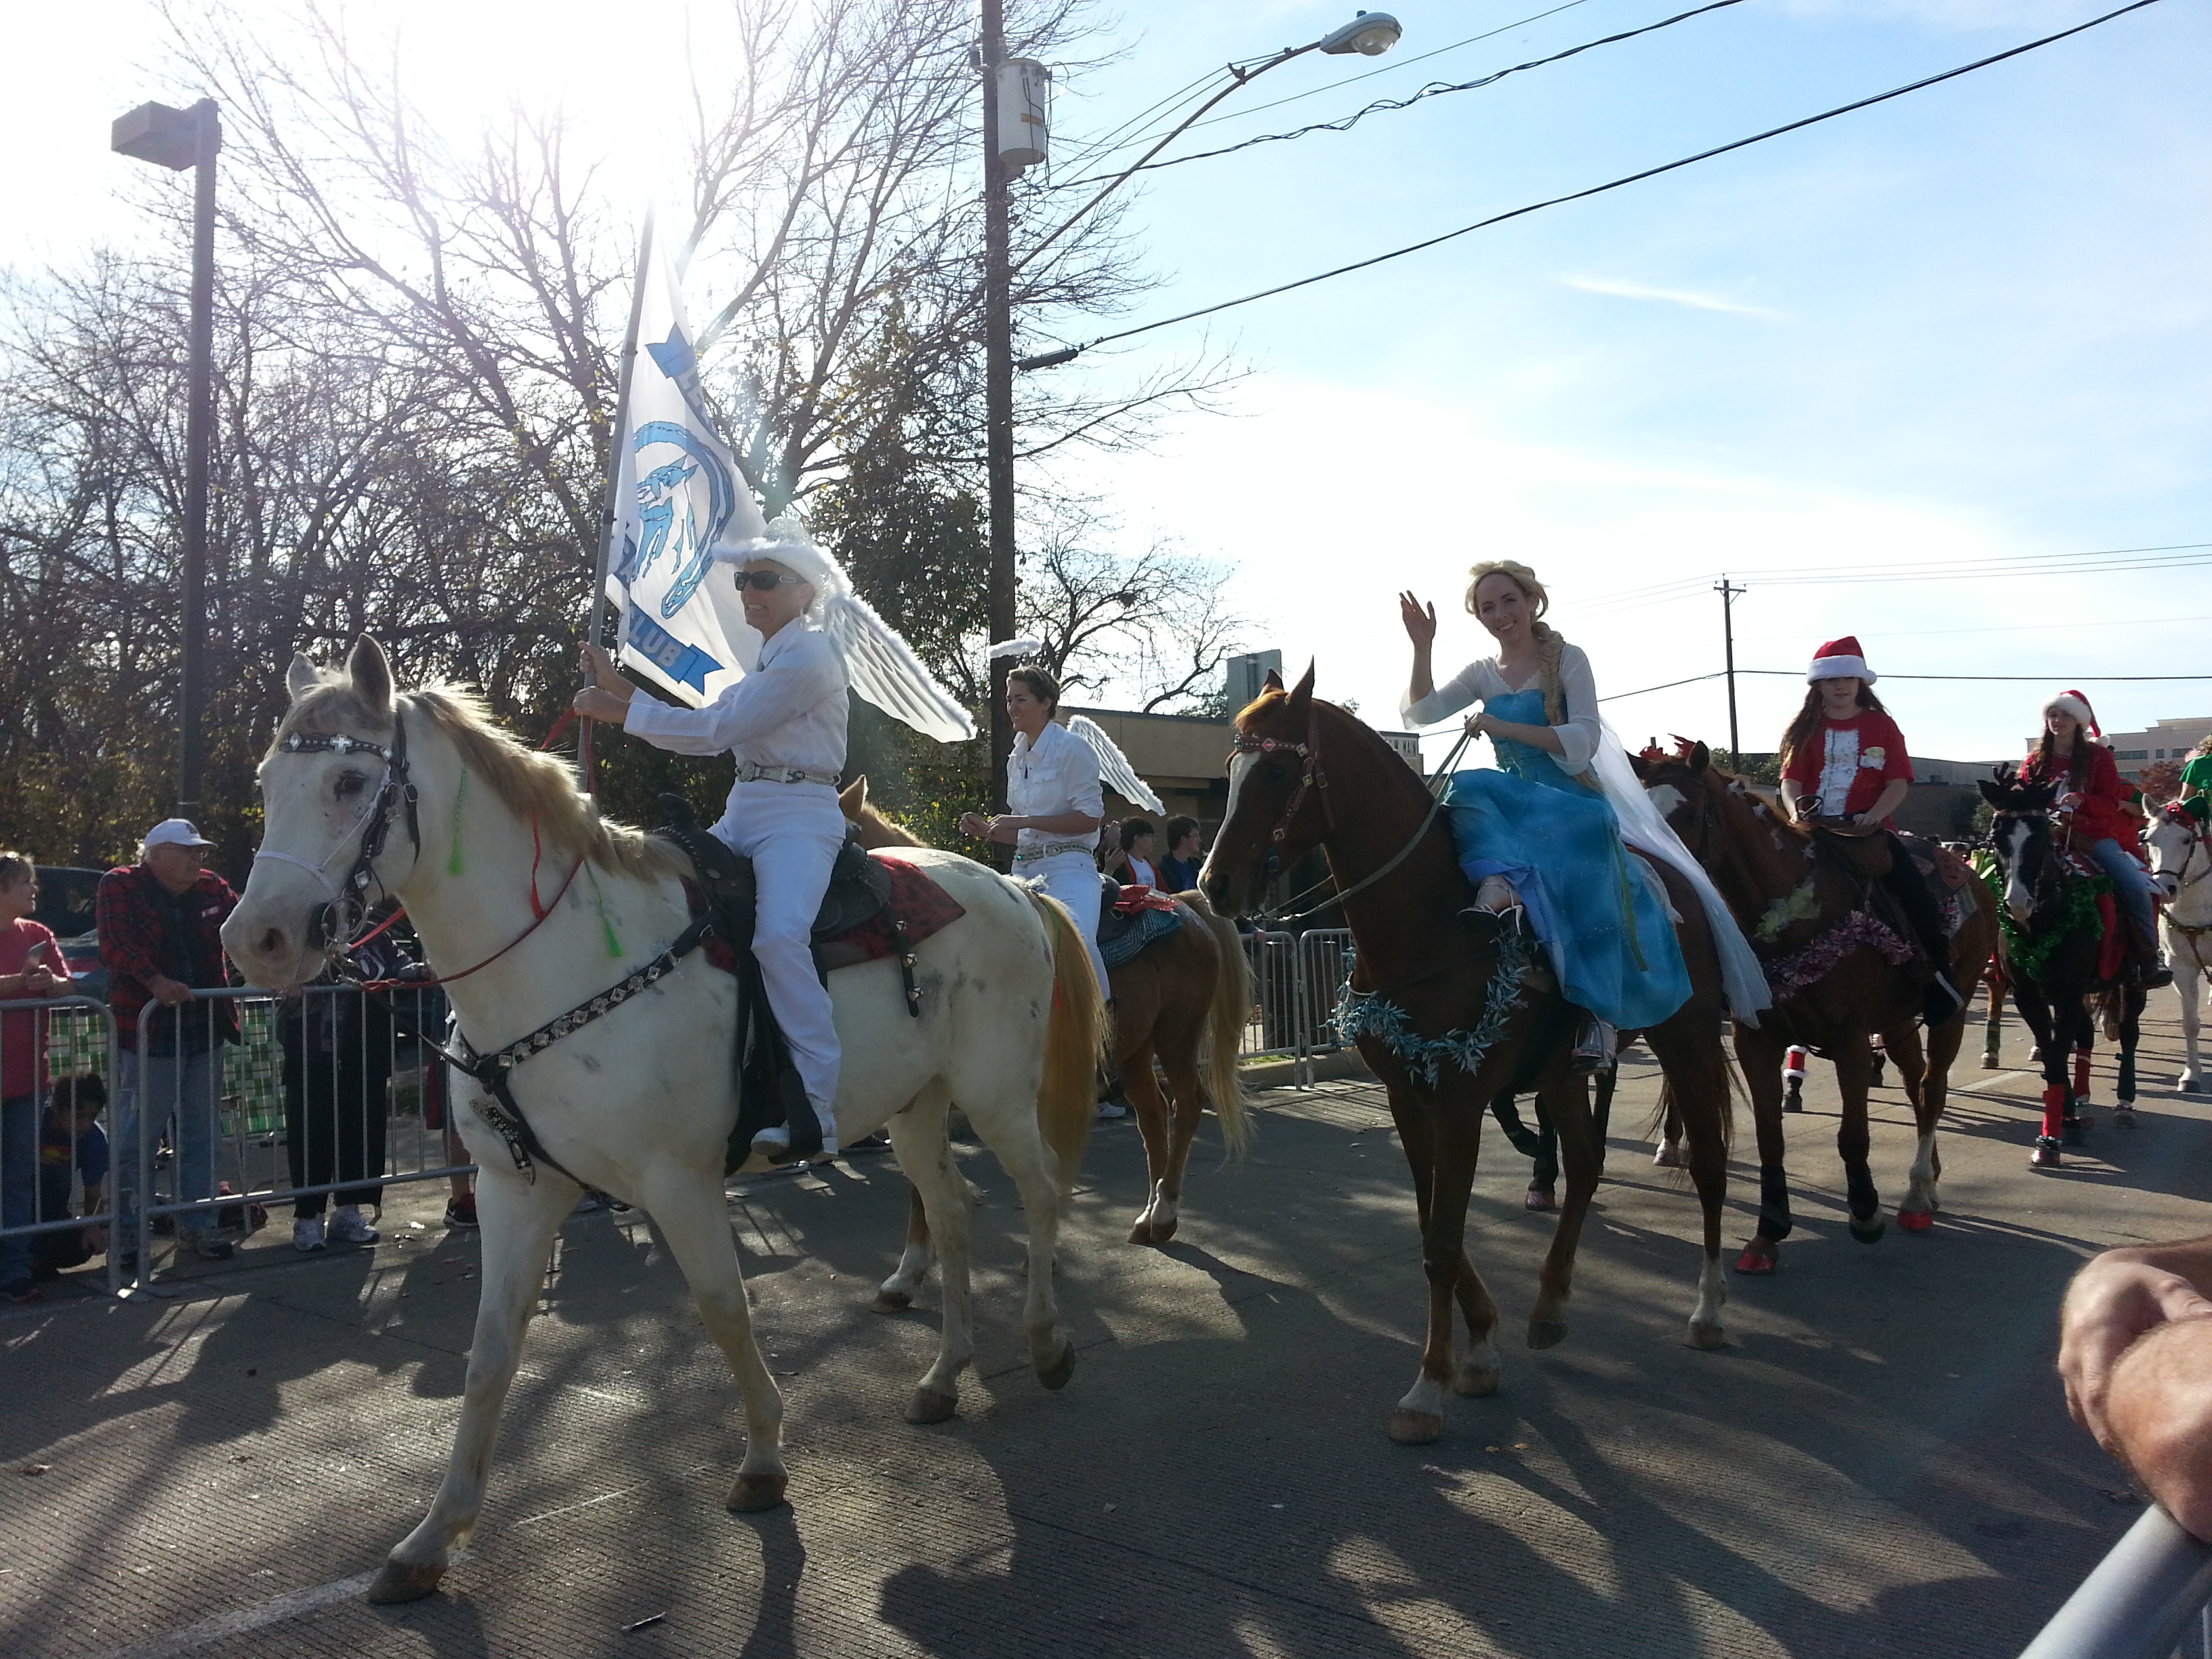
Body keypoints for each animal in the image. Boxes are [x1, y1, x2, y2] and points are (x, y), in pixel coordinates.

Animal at [220, 639, 1107, 1603]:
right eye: (266, 780)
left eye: (350, 779)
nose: (254, 940)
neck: (561, 963)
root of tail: (1011, 888)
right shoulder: (513, 1190)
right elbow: (490, 1353)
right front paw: (431, 1536)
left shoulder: (678, 1183)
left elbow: (725, 1310)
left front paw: (763, 1460)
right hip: (917, 1109)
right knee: (949, 1213)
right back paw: (944, 1377)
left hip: (996, 1094)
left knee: (1039, 1192)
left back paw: (1048, 1343)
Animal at [835, 776, 1251, 1264]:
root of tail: (1183, 905)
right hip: (1134, 1050)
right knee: (1152, 1116)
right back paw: (1147, 1217)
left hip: (1177, 1036)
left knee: (1185, 1106)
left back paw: (1165, 1215)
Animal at [1200, 668, 1739, 1445]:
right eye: (1231, 769)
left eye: (1275, 770)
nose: (1215, 885)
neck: (1429, 923)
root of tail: (1680, 881)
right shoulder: (1408, 1097)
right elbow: (1436, 1230)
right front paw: (1481, 1345)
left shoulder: (1458, 1101)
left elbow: (1442, 1244)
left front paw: (1428, 1387)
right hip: (1563, 1074)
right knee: (1585, 1163)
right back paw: (1550, 1307)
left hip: (1688, 1038)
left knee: (1708, 1165)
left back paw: (1709, 1308)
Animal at [1635, 744, 1997, 1268]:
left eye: (1685, 813)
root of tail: (1971, 875)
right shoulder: (1754, 1041)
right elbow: (1770, 1136)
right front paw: (1768, 1230)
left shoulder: (1849, 1041)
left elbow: (1853, 1136)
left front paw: (1865, 1213)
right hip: (1895, 1019)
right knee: (1915, 1082)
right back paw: (1929, 1179)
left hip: (1952, 1009)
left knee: (1933, 1088)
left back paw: (1915, 1194)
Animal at [1978, 769, 2146, 1165]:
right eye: (1996, 835)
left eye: (2041, 836)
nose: (2018, 903)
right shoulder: (2030, 995)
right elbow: (2051, 1053)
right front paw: (2065, 1119)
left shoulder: (2068, 993)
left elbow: (2056, 1056)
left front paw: (2049, 1140)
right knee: (2085, 1036)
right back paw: (2082, 1103)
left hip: (2132, 984)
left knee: (2128, 1034)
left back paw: (2124, 1105)